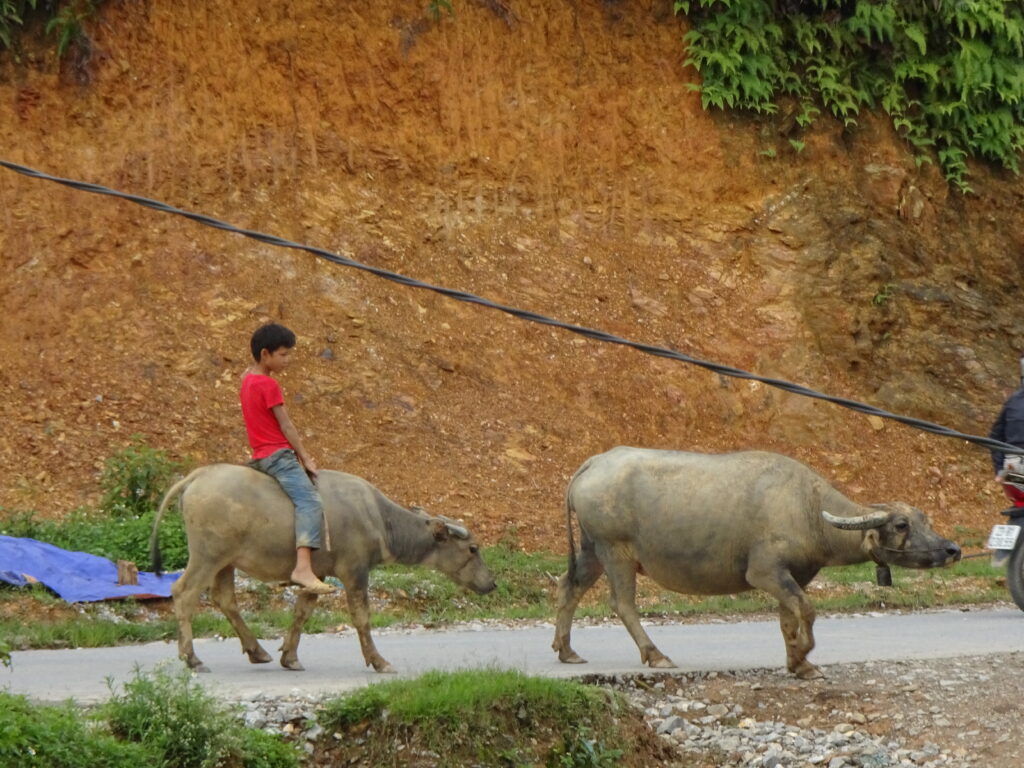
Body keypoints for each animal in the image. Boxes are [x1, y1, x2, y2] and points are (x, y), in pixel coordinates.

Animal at [149, 462, 495, 671]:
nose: (491, 583)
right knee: (184, 592)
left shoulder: (319, 574)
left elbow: (303, 611)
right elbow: (361, 618)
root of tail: (199, 475)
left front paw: (290, 656)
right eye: (472, 548)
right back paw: (192, 658)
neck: (378, 519)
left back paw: (257, 650)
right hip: (207, 555)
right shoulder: (354, 571)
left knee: (224, 600)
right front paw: (379, 661)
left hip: (225, 562)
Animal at [552, 450, 958, 679]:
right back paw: (656, 655)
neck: (807, 509)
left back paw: (567, 650)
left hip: (592, 549)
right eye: (901, 525)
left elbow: (788, 618)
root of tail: (592, 464)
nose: (952, 549)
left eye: (925, 520)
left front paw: (798, 663)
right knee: (622, 603)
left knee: (569, 587)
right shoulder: (764, 572)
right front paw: (803, 653)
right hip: (615, 551)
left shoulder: (792, 577)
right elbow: (807, 611)